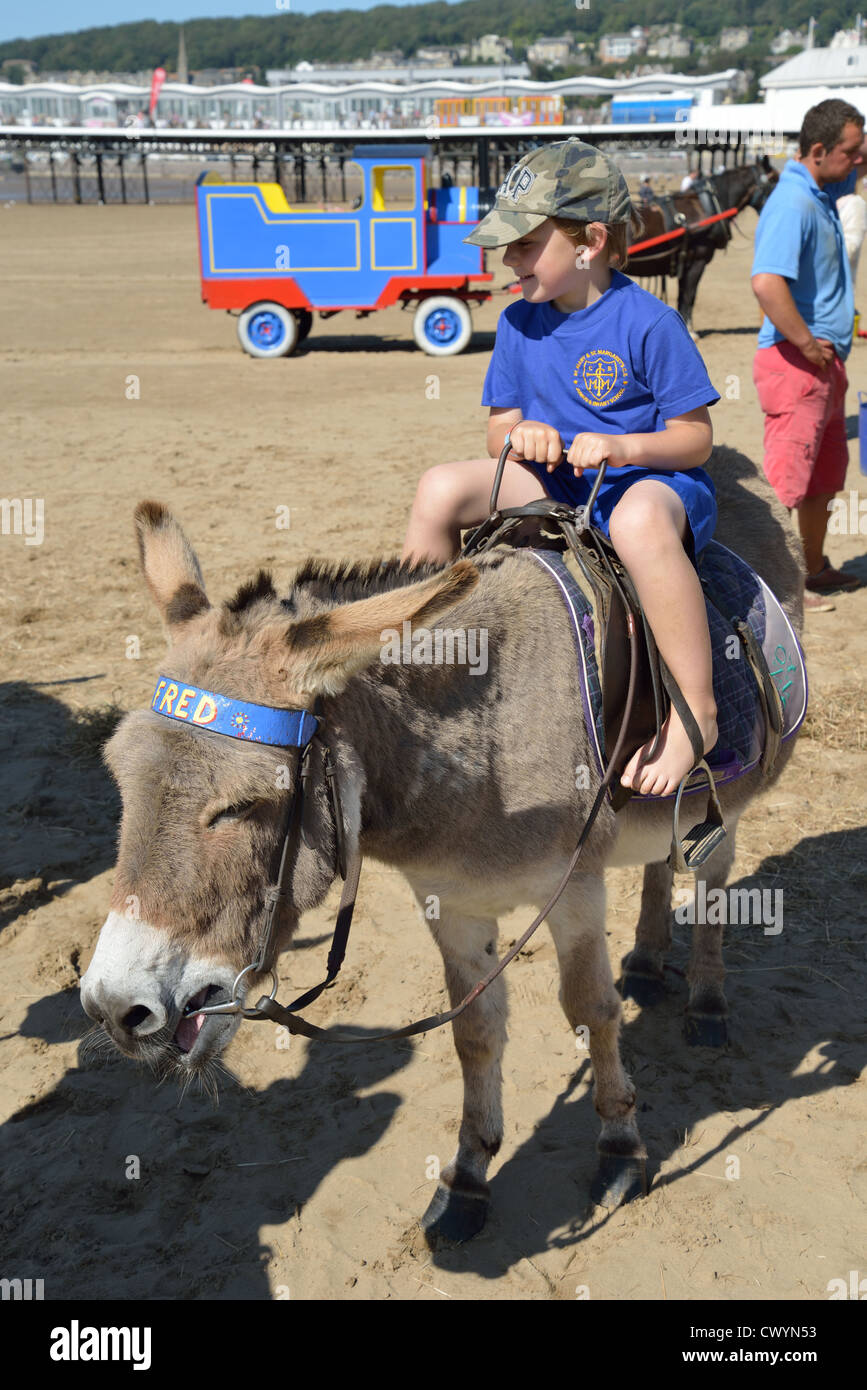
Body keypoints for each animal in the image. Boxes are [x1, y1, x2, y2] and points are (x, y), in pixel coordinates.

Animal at [80, 444, 804, 1247]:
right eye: (119, 779)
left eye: (242, 805)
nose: (112, 1009)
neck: (479, 745)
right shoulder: (451, 904)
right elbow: (474, 1035)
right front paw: (468, 1180)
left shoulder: (575, 892)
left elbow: (590, 1010)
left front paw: (619, 1150)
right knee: (657, 861)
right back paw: (647, 960)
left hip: (722, 794)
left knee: (710, 879)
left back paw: (705, 1001)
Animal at [628, 158, 779, 336]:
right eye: (775, 181)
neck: (706, 207)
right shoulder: (697, 262)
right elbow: (689, 296)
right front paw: (690, 331)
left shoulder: (685, 263)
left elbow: (683, 296)